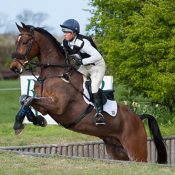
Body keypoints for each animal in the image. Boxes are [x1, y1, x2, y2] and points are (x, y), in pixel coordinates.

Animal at [9, 22, 167, 164]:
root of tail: (138, 117)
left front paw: (21, 124)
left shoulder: (58, 105)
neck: (53, 73)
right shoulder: (44, 105)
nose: (14, 67)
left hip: (136, 151)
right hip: (117, 150)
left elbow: (29, 99)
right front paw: (32, 121)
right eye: (16, 42)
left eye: (25, 42)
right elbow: (25, 99)